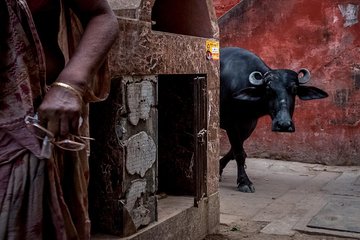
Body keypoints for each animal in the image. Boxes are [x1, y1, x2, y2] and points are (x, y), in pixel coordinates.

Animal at [219, 47, 330, 193]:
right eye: (268, 89)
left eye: (294, 89)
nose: (283, 125)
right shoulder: (231, 124)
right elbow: (239, 152)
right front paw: (244, 182)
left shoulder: (249, 124)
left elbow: (235, 151)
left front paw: (218, 169)